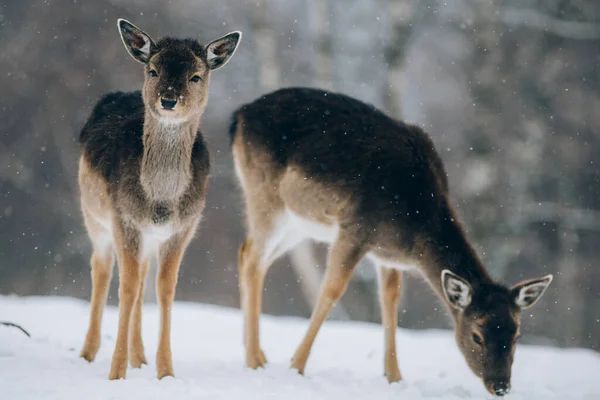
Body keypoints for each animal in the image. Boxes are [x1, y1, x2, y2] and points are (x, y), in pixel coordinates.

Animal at [78, 19, 241, 382]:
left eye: (195, 76)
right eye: (153, 70)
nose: (168, 99)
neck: (161, 202)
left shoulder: (183, 228)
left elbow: (164, 288)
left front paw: (165, 371)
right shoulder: (123, 218)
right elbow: (125, 287)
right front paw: (116, 372)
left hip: (147, 238)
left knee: (142, 279)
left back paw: (139, 357)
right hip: (93, 215)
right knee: (101, 269)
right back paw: (88, 353)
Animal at [231, 86, 552, 396]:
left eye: (516, 334)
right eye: (477, 335)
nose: (501, 386)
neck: (413, 225)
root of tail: (238, 117)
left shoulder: (387, 254)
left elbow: (390, 299)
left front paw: (394, 377)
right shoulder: (354, 229)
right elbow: (331, 290)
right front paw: (296, 367)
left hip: (298, 223)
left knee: (252, 256)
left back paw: (257, 354)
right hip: (266, 195)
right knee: (251, 255)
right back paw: (254, 359)